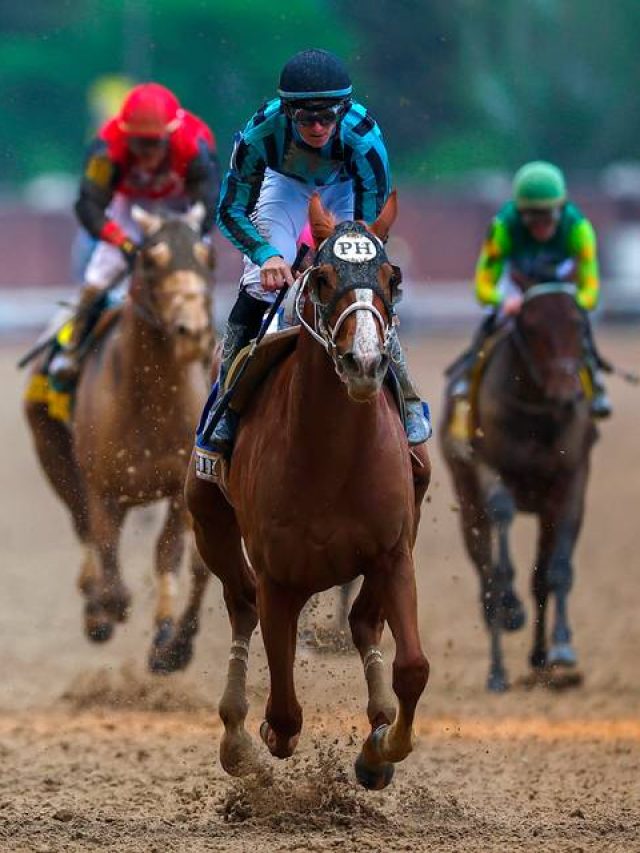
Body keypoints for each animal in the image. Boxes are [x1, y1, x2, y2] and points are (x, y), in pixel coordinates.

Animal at [25, 206, 215, 672]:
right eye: (149, 259)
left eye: (208, 256)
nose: (192, 331)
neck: (149, 399)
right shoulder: (102, 486)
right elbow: (107, 557)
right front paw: (106, 608)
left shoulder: (179, 487)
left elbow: (167, 553)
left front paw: (166, 639)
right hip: (54, 454)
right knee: (83, 527)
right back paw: (95, 606)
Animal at [184, 190, 430, 788]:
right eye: (321, 277)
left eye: (393, 276)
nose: (365, 361)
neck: (332, 458)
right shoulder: (279, 574)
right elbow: (284, 713)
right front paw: (260, 737)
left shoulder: (394, 551)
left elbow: (412, 666)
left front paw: (381, 750)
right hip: (208, 521)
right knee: (242, 604)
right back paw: (235, 737)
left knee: (364, 622)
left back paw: (377, 723)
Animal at [442, 284, 596, 692]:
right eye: (531, 326)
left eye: (578, 324)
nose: (566, 395)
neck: (534, 414)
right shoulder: (485, 464)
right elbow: (501, 520)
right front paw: (511, 606)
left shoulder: (569, 481)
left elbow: (555, 571)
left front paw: (561, 647)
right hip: (467, 503)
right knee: (486, 576)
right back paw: (497, 669)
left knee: (539, 579)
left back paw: (539, 660)